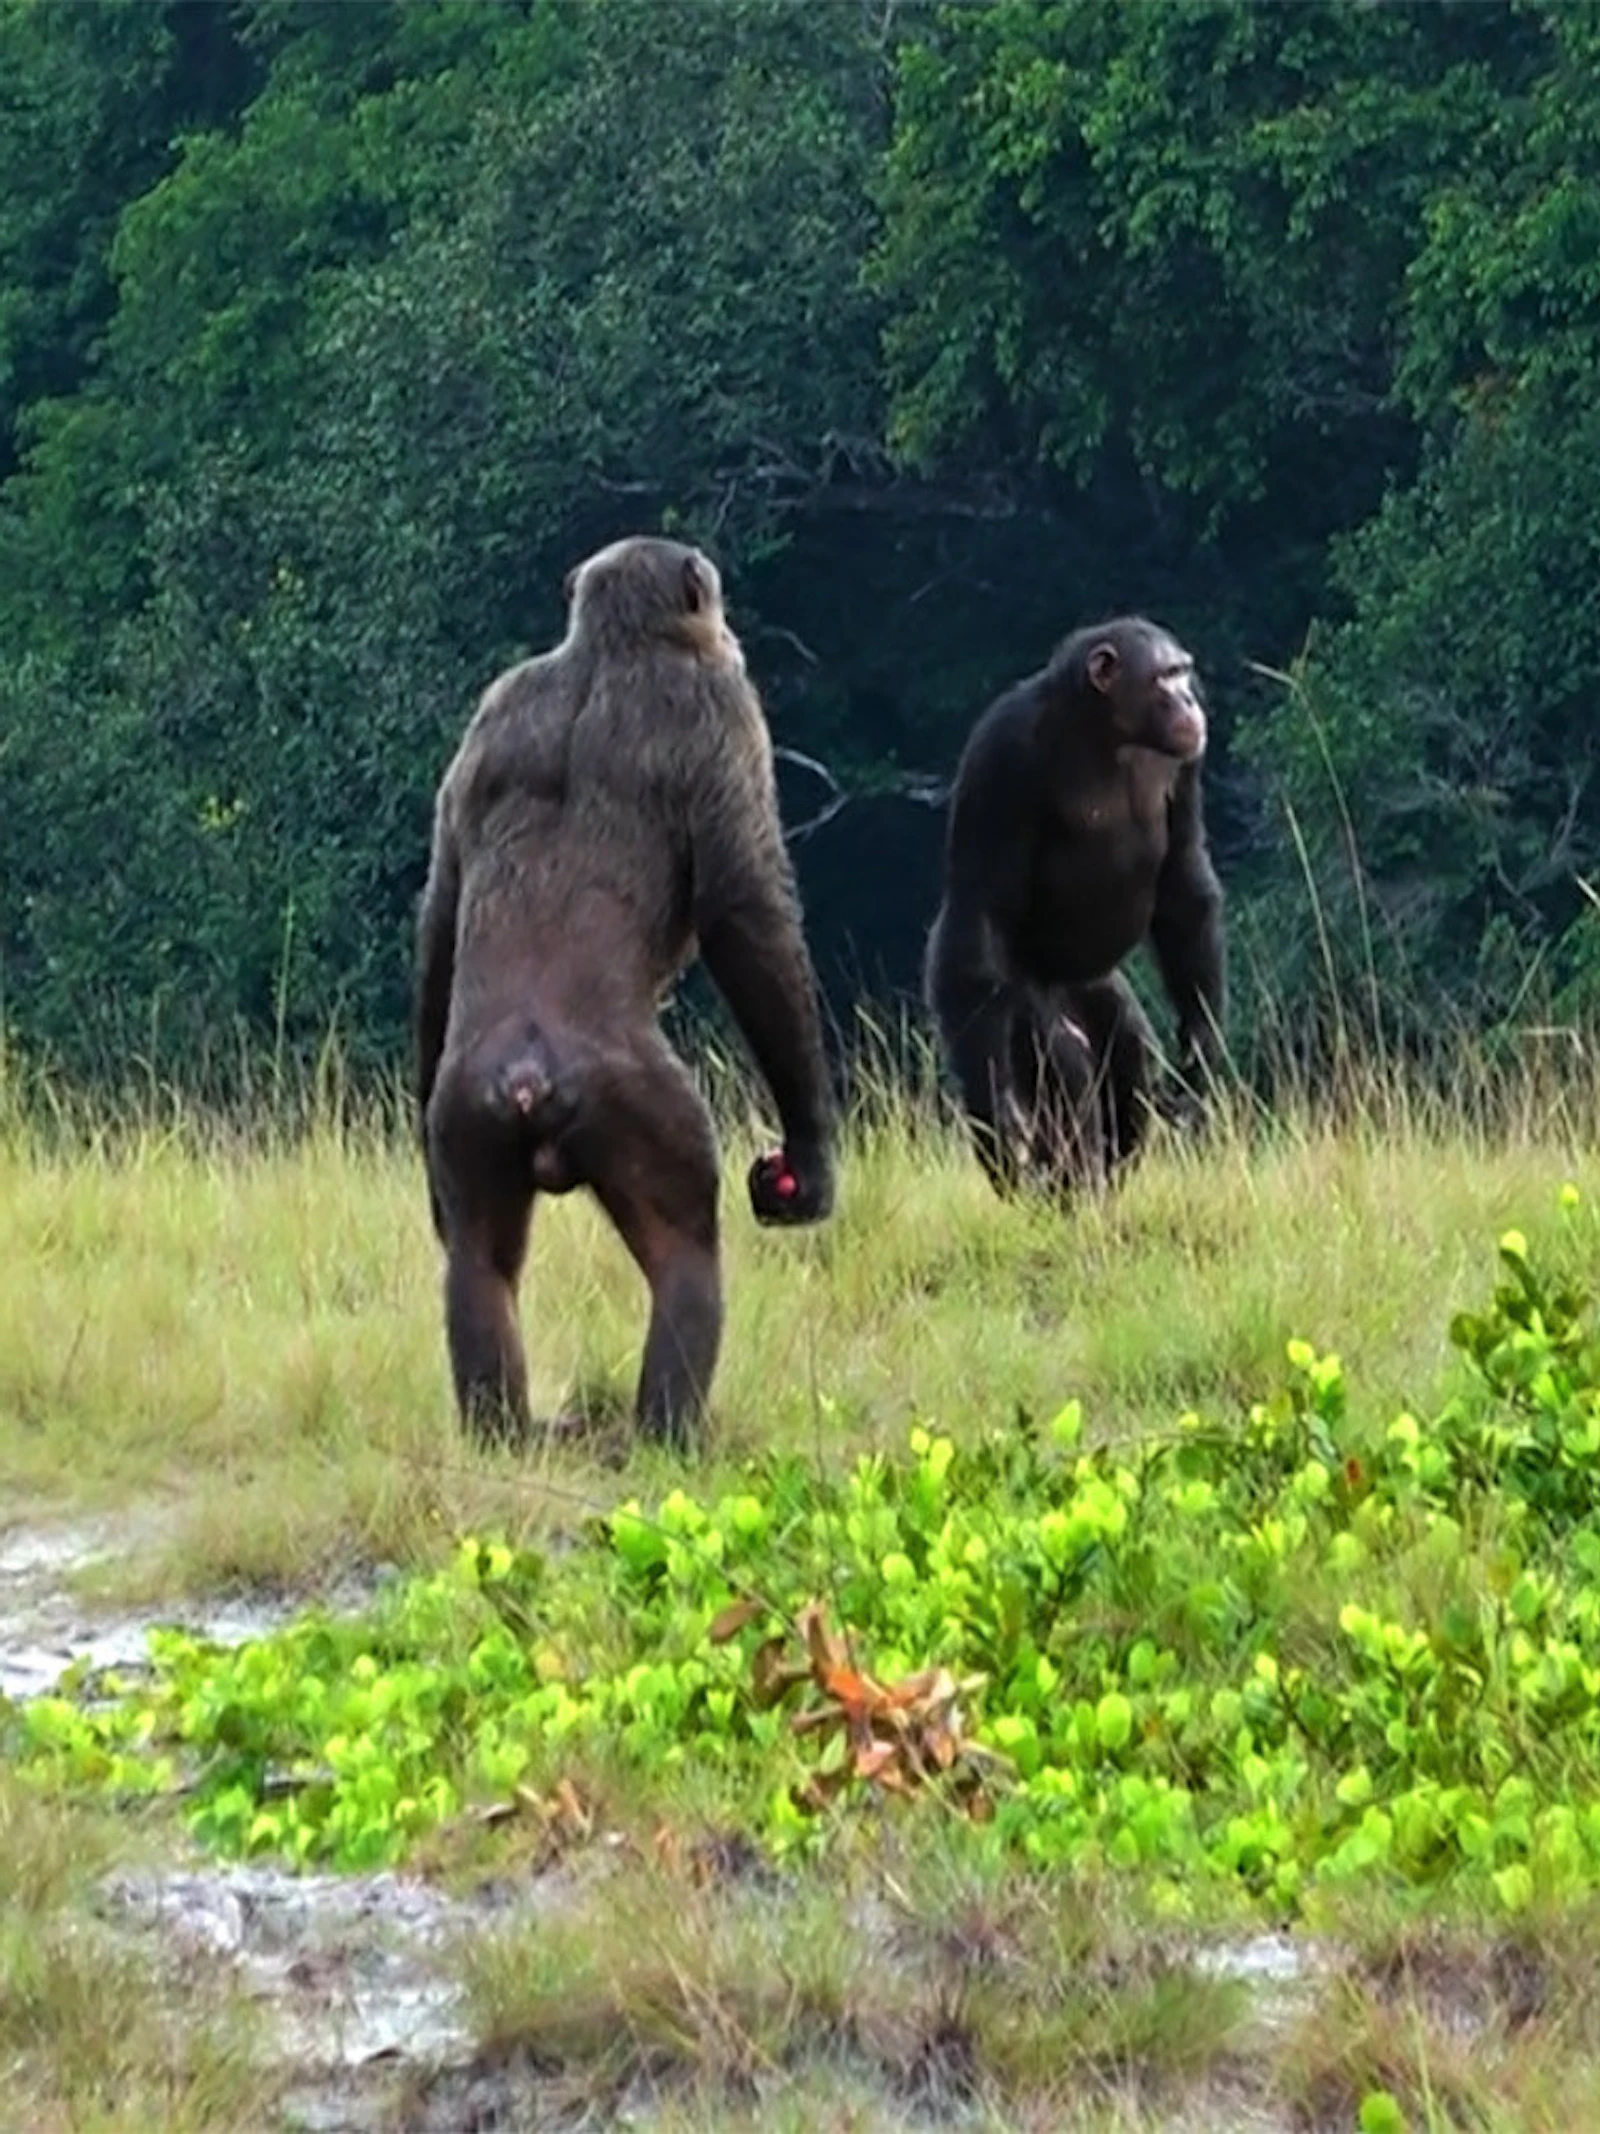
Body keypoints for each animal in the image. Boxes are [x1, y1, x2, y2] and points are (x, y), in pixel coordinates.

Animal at [415, 535, 836, 1450]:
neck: (610, 651)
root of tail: (528, 1075)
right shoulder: (723, 708)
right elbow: (744, 911)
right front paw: (814, 1156)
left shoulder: (491, 712)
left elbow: (440, 903)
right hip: (638, 1107)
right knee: (686, 1253)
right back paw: (672, 1433)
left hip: (466, 1114)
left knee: (479, 1265)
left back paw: (503, 1429)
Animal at [925, 615, 1225, 1196]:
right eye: (1164, 676)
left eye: (1183, 672)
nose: (1189, 700)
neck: (1108, 733)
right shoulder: (1000, 753)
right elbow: (979, 914)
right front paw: (999, 1117)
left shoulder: (1187, 764)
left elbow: (1181, 880)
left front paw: (1201, 1043)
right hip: (1025, 1000)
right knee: (1064, 1065)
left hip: (1099, 989)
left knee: (1131, 1060)